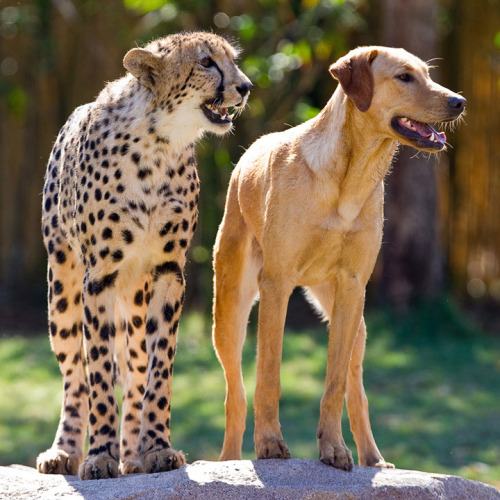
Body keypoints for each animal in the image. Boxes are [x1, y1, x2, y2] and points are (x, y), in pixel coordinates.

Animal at [36, 31, 250, 480]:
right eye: (206, 62)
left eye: (232, 60)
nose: (245, 87)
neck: (158, 143)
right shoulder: (99, 276)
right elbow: (98, 373)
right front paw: (100, 455)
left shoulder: (169, 272)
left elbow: (158, 370)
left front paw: (156, 448)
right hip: (61, 288)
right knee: (73, 375)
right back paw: (65, 450)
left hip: (134, 296)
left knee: (134, 369)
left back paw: (132, 455)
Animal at [211, 45, 464, 470]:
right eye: (404, 77)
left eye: (428, 75)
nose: (459, 101)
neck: (350, 176)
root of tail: (248, 154)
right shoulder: (276, 286)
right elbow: (269, 378)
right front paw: (270, 444)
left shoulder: (352, 287)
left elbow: (334, 385)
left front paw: (333, 448)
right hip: (230, 314)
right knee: (236, 396)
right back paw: (229, 460)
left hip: (356, 325)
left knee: (356, 393)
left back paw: (373, 460)